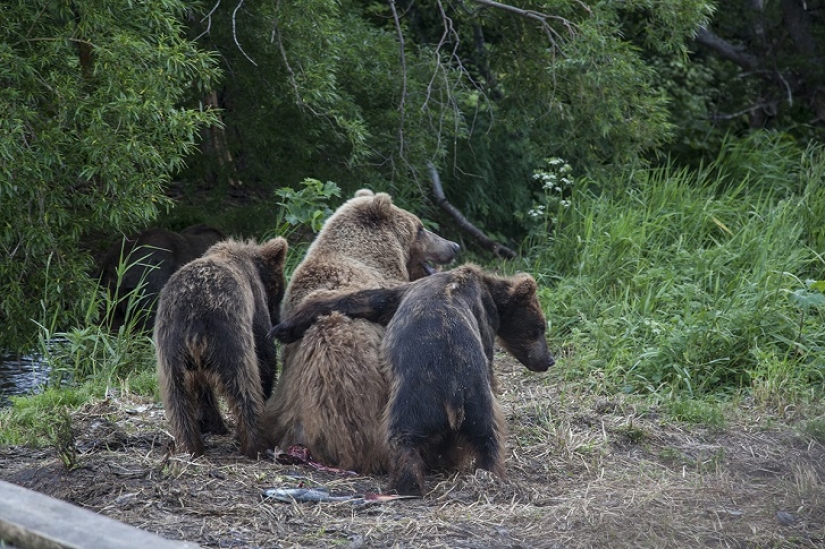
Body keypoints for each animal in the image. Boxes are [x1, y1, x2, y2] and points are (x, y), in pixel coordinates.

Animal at [154, 237, 288, 458]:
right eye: (280, 290)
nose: (277, 319)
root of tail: (194, 317)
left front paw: (210, 423)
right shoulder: (255, 309)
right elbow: (266, 357)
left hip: (170, 344)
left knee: (177, 396)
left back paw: (190, 445)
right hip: (229, 334)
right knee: (244, 384)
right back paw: (256, 445)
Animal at [269, 263, 555, 496]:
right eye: (538, 328)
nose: (549, 360)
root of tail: (453, 394)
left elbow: (370, 300)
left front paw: (285, 327)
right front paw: (284, 328)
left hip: (421, 399)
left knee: (407, 440)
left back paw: (409, 484)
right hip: (470, 403)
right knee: (484, 438)